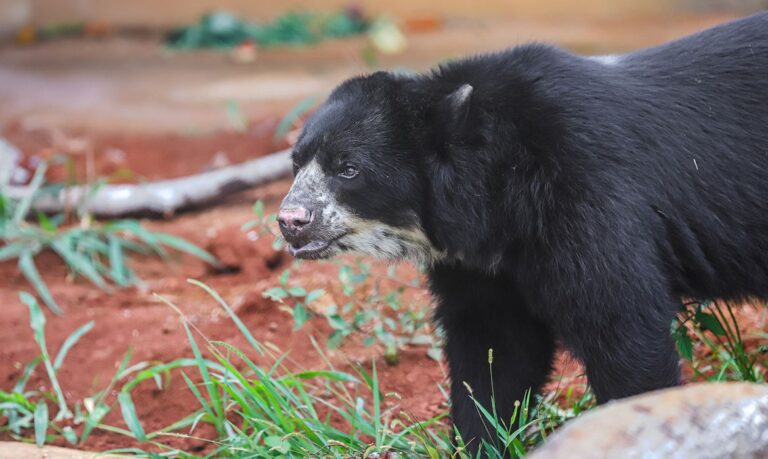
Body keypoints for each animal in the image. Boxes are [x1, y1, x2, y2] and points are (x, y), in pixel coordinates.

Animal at [276, 11, 768, 456]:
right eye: (297, 163)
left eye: (348, 169)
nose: (290, 220)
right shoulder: (481, 266)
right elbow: (495, 354)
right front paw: (482, 443)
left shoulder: (588, 196)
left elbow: (622, 324)